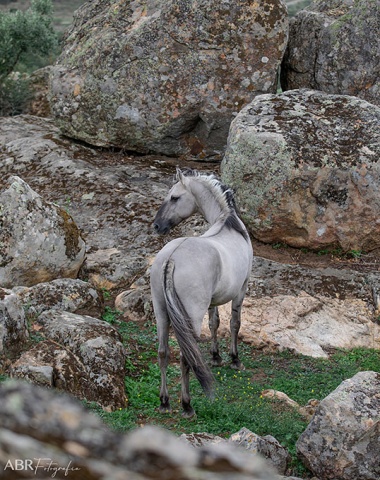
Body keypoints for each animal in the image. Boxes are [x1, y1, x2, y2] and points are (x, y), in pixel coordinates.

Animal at [150, 168, 254, 416]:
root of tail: (170, 259)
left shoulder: (213, 301)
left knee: (163, 352)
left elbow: (214, 323)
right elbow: (235, 323)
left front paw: (216, 357)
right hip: (189, 318)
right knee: (185, 356)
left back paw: (164, 402)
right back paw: (186, 405)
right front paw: (234, 359)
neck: (227, 223)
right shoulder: (242, 289)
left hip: (160, 313)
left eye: (174, 197)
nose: (157, 226)